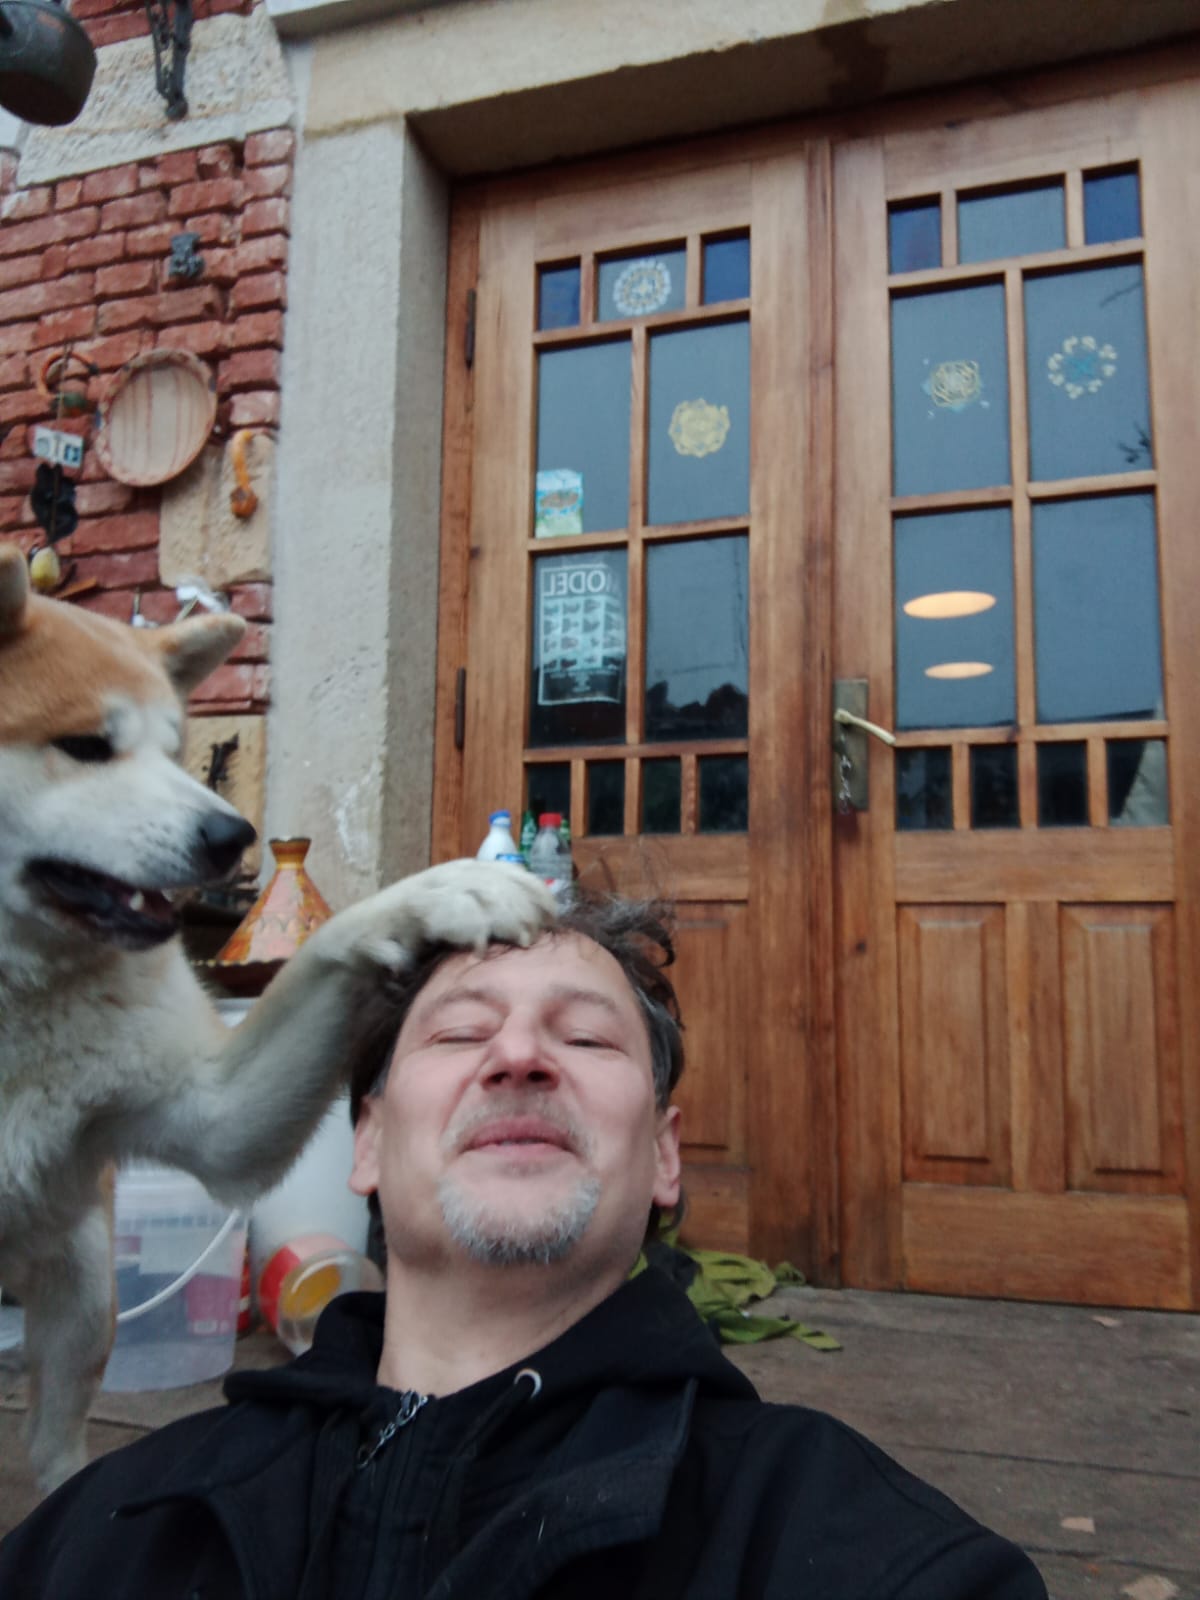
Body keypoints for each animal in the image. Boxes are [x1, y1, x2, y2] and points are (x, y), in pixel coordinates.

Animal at [0, 543, 555, 1493]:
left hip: (81, 1281)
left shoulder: (216, 1117)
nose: (232, 836)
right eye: (86, 746)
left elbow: (330, 946)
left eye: (176, 751)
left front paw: (444, 893)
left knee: (54, 1446)